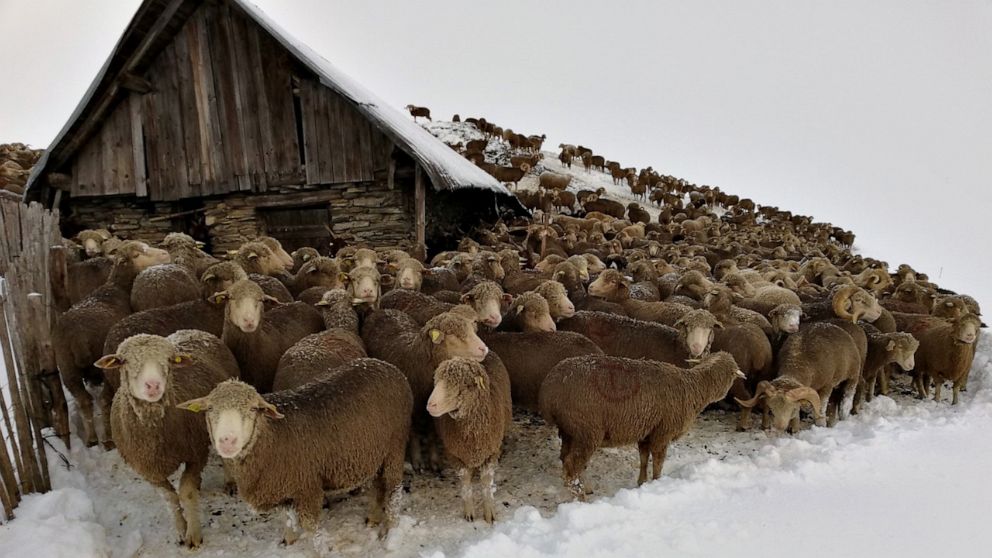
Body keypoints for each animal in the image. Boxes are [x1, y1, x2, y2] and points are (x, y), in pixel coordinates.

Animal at [52, 242, 170, 450]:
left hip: (67, 369)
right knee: (105, 400)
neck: (118, 287)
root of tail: (77, 337)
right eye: (137, 254)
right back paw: (108, 439)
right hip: (105, 366)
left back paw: (92, 439)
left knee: (85, 402)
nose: (166, 254)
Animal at [95, 330, 240, 548]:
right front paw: (180, 530)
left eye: (169, 361)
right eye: (124, 361)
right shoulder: (148, 470)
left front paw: (193, 536)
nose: (153, 385)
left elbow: (186, 492)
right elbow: (170, 498)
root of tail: (194, 331)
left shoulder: (196, 453)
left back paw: (230, 481)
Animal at [177, 364, 410, 548]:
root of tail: (390, 368)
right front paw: (288, 541)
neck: (270, 437)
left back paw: (391, 530)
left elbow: (311, 527)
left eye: (253, 409)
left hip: (395, 447)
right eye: (210, 409)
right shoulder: (285, 484)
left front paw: (317, 550)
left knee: (394, 491)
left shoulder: (308, 486)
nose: (227, 440)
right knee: (379, 485)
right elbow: (287, 517)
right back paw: (373, 518)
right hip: (377, 454)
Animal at [424, 358, 508, 524]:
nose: (430, 405)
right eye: (437, 381)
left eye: (462, 384)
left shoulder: (491, 453)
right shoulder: (455, 455)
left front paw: (489, 514)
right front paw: (469, 513)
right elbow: (466, 484)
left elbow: (486, 484)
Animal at [544, 354, 744, 498]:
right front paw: (657, 482)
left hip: (570, 431)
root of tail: (550, 389)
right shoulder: (663, 432)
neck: (694, 388)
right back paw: (581, 496)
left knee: (565, 459)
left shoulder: (646, 430)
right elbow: (658, 461)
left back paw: (582, 487)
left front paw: (642, 482)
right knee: (572, 464)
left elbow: (643, 457)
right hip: (587, 431)